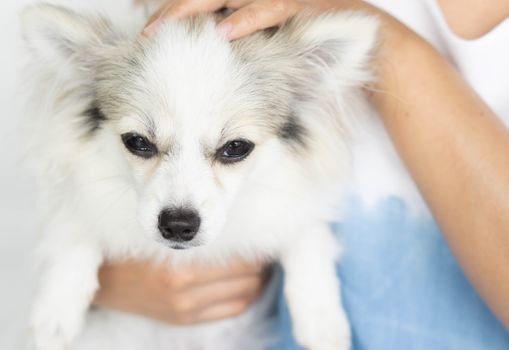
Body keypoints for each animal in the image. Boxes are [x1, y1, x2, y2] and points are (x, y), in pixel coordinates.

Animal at [20, 3, 378, 350]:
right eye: (137, 142)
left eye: (236, 147)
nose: (178, 224)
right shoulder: (79, 192)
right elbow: (73, 226)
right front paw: (55, 313)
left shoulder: (293, 203)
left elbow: (308, 236)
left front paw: (322, 321)